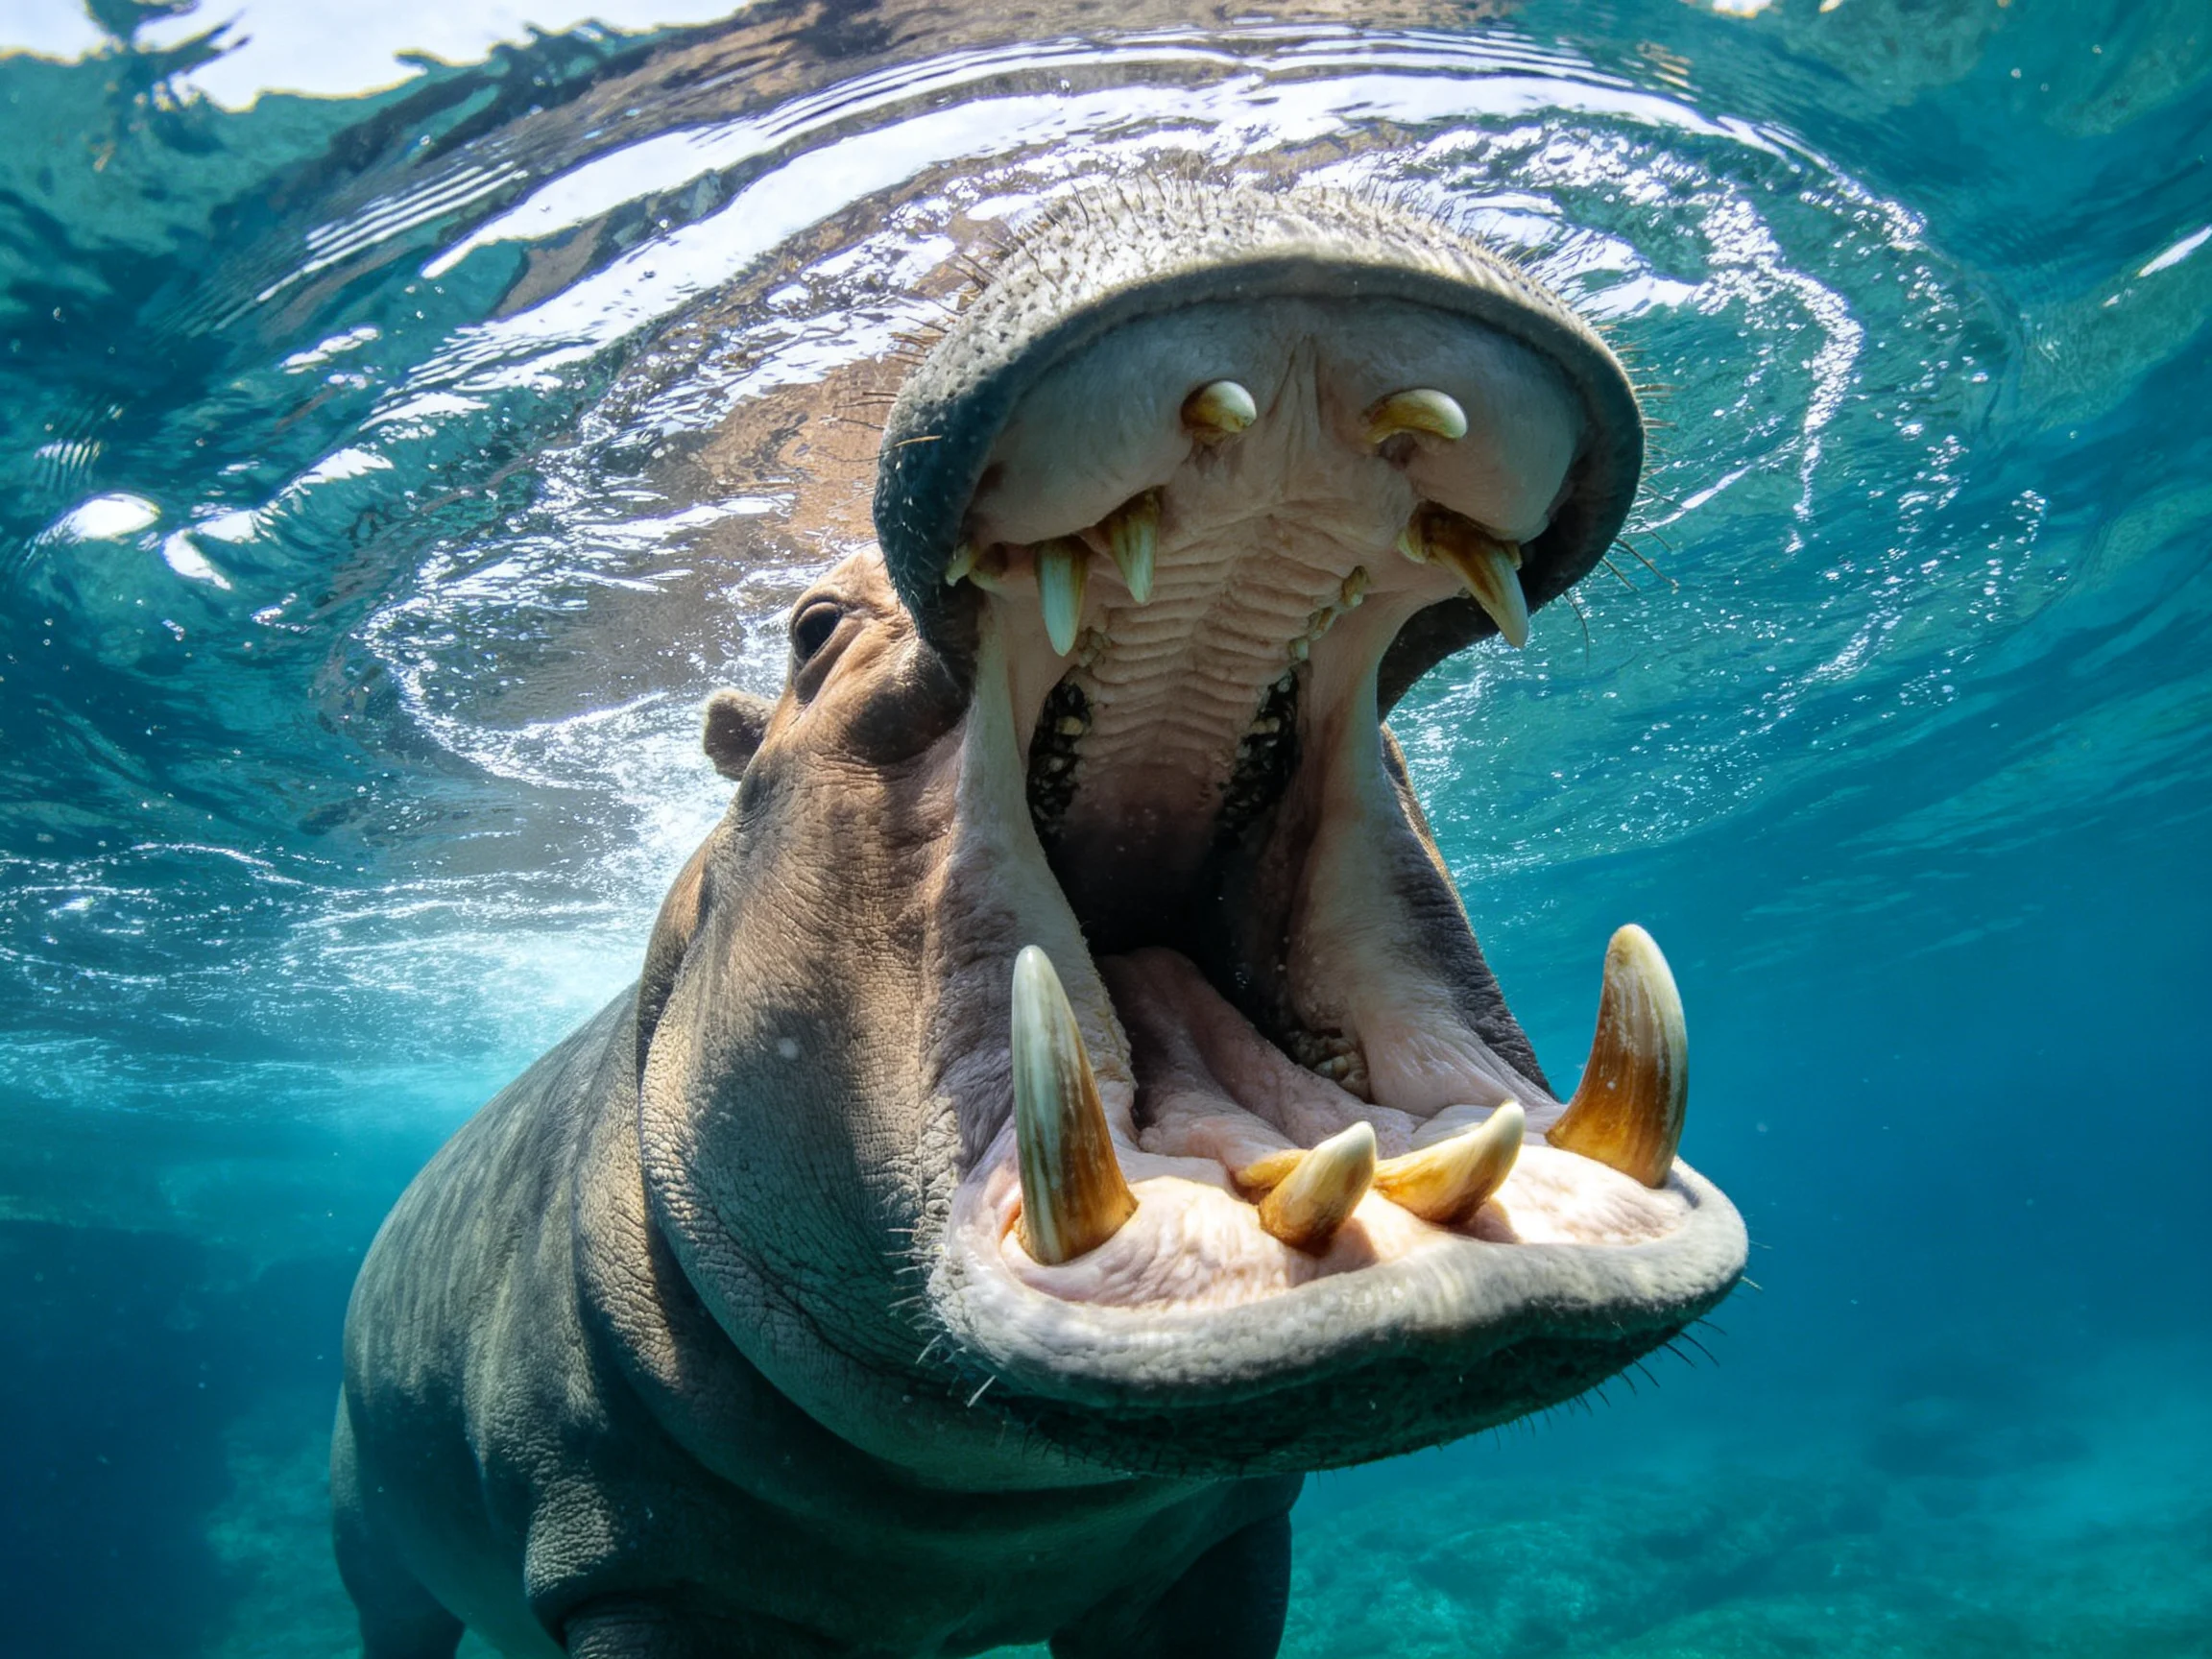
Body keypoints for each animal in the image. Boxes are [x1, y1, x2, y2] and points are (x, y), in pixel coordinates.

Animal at [332, 180, 1746, 1659]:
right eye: (811, 626)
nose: (1230, 172)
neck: (990, 1501)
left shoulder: (1225, 1540)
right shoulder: (637, 1578)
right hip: (374, 1547)